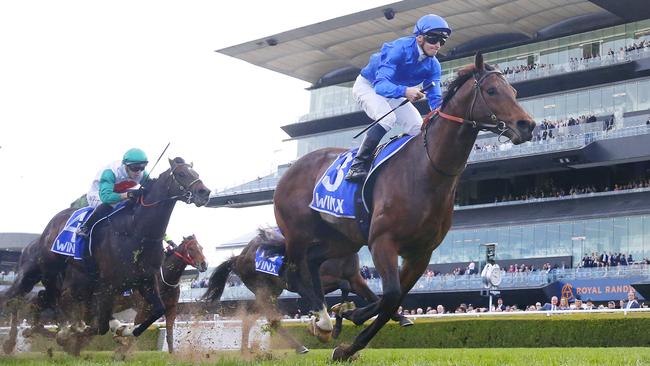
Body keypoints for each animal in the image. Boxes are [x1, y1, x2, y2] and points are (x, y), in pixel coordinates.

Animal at [201, 229, 410, 354]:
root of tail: (239, 257)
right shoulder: (313, 280)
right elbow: (342, 288)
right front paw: (338, 317)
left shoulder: (356, 278)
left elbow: (374, 296)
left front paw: (402, 319)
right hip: (264, 288)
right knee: (271, 319)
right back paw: (299, 347)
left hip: (272, 290)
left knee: (250, 318)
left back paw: (245, 350)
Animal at [270, 52, 536, 360]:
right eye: (492, 91)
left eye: (513, 91)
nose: (527, 125)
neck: (426, 170)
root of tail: (289, 169)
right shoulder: (382, 241)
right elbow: (391, 296)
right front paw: (347, 334)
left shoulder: (421, 252)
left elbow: (393, 300)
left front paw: (348, 327)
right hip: (298, 233)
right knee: (293, 273)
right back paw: (321, 321)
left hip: (342, 239)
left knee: (313, 263)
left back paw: (324, 318)